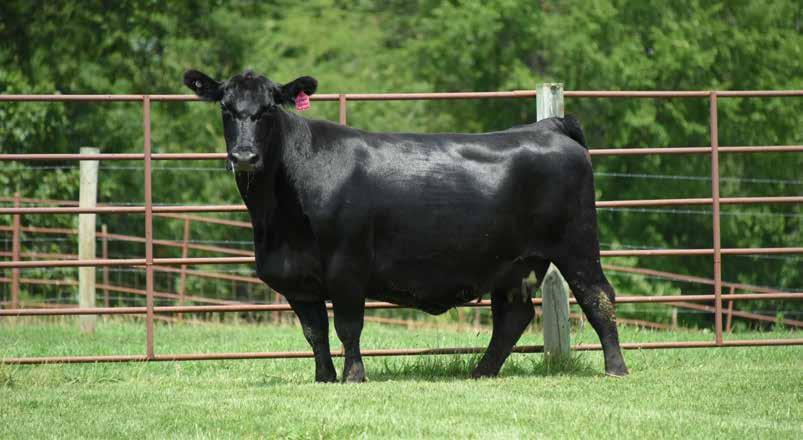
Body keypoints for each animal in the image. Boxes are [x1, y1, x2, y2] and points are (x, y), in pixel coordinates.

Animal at [184, 69, 629, 382]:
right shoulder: (296, 279)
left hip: (576, 243)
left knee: (598, 297)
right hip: (514, 263)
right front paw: (324, 378)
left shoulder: (347, 266)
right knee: (513, 316)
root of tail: (546, 126)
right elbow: (315, 332)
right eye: (226, 108)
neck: (278, 219)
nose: (244, 155)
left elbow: (347, 327)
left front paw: (353, 376)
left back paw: (616, 368)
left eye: (269, 109)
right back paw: (481, 372)